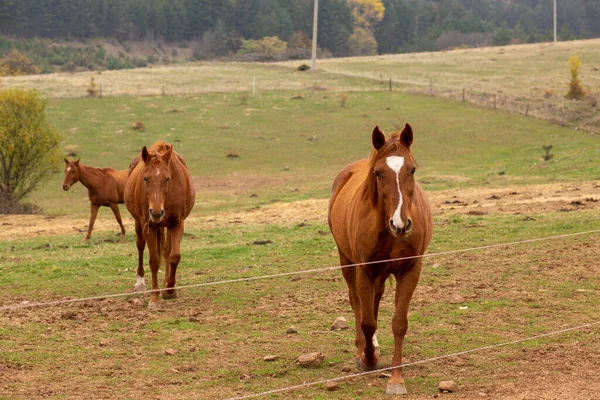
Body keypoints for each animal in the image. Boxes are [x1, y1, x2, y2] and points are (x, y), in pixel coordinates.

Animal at [125, 142, 197, 310]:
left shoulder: (177, 224)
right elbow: (154, 261)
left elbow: (174, 256)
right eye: (145, 178)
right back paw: (140, 281)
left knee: (166, 250)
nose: (156, 212)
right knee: (140, 245)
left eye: (167, 178)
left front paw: (170, 289)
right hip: (139, 224)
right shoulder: (149, 226)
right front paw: (154, 299)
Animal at [328, 124, 432, 394]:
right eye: (378, 173)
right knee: (357, 302)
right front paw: (367, 358)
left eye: (412, 169)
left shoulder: (410, 270)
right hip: (348, 262)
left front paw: (396, 379)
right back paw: (362, 349)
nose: (400, 224)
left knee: (374, 299)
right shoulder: (365, 270)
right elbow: (366, 321)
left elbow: (399, 323)